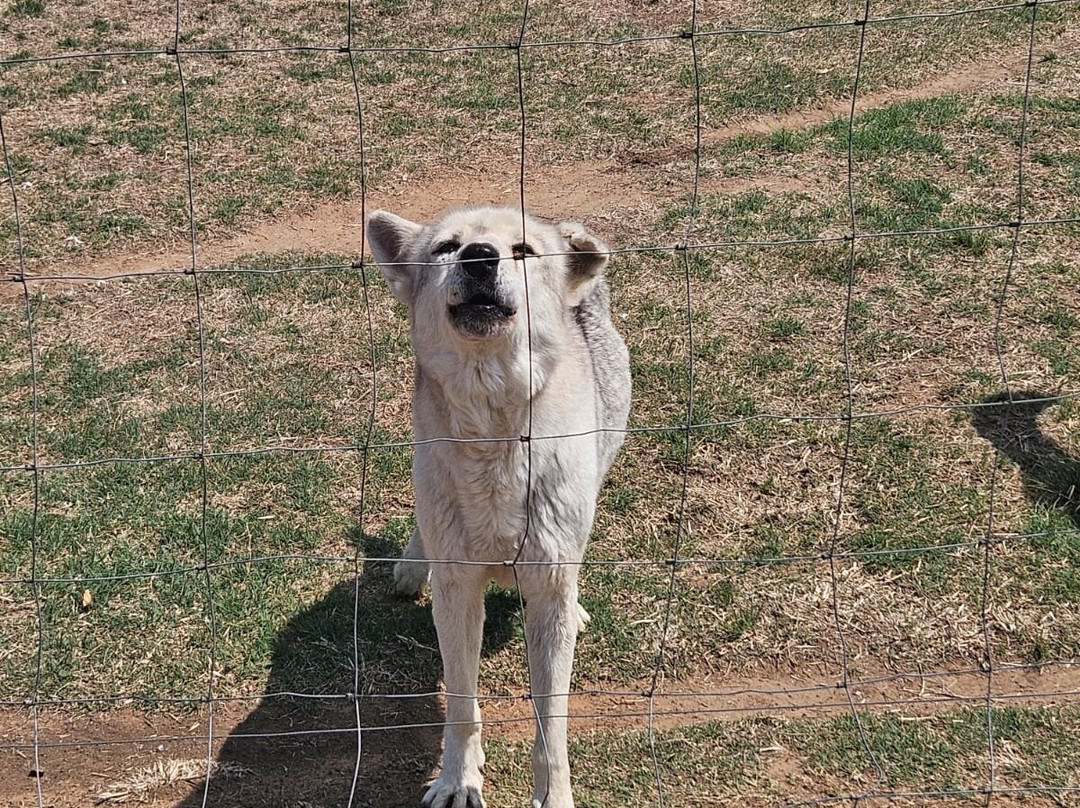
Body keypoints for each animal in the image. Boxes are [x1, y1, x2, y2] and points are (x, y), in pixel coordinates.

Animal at [366, 205, 631, 808]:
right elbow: (462, 707)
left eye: (524, 250)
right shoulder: (458, 586)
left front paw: (554, 796)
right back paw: (410, 567)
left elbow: (551, 725)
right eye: (446, 247)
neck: (493, 432)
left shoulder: (548, 583)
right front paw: (457, 782)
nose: (480, 256)